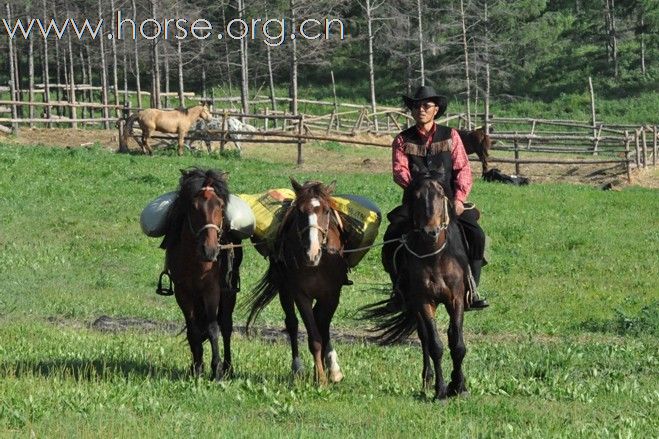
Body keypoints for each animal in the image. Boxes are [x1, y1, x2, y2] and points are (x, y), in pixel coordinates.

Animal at [163, 168, 240, 382]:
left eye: (220, 205)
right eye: (194, 206)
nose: (210, 250)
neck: (195, 260)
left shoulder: (211, 291)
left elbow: (214, 329)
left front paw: (217, 370)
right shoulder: (183, 293)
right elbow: (193, 330)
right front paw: (197, 368)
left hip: (228, 293)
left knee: (226, 326)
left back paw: (228, 367)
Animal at [360, 172, 474, 402]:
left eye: (440, 195)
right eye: (417, 197)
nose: (431, 231)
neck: (435, 256)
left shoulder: (456, 299)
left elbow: (457, 345)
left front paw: (459, 386)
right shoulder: (424, 302)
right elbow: (435, 345)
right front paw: (441, 390)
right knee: (424, 338)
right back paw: (427, 378)